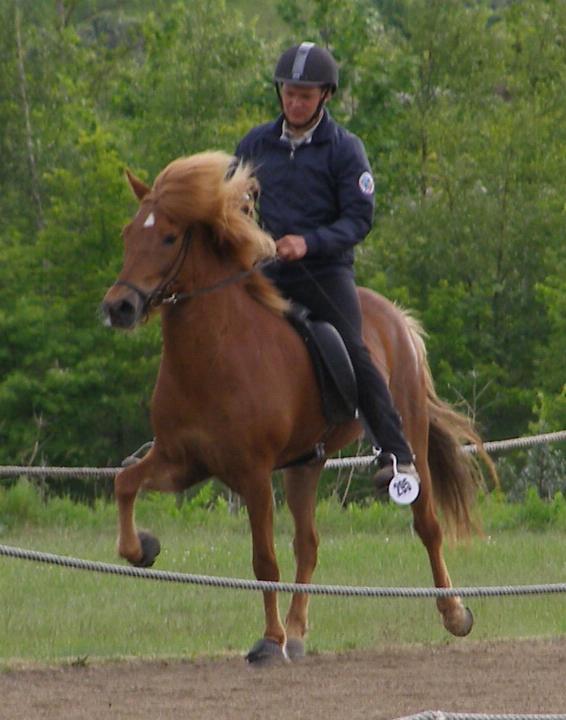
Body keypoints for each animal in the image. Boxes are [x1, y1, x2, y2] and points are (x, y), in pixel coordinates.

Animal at [103, 152, 496, 664]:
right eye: (129, 234)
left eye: (169, 237)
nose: (119, 308)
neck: (213, 354)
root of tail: (397, 318)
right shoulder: (182, 461)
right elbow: (125, 483)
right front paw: (143, 548)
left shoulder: (252, 474)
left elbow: (263, 559)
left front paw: (269, 642)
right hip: (304, 464)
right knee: (308, 545)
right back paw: (296, 631)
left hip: (409, 436)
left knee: (427, 524)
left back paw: (453, 613)